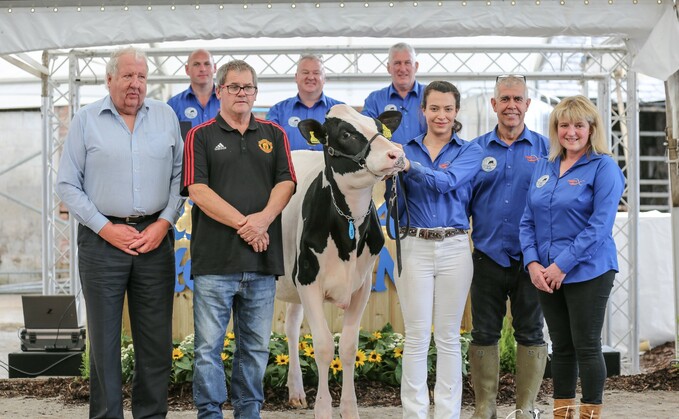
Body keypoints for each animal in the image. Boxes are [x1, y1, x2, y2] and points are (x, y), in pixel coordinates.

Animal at [276, 105, 404, 419]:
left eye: (379, 128)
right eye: (345, 134)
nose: (396, 154)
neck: (349, 224)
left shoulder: (361, 286)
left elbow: (347, 347)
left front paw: (349, 408)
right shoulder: (308, 281)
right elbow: (323, 346)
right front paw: (323, 409)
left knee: (291, 328)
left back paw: (296, 392)